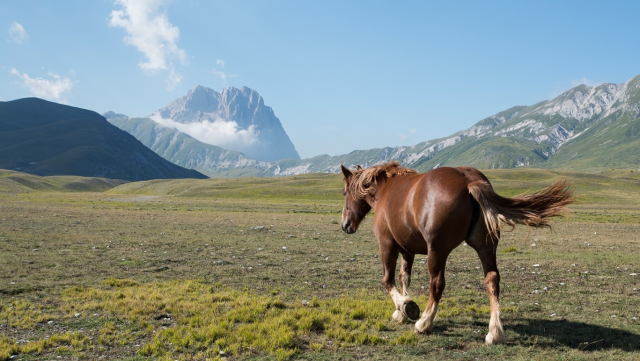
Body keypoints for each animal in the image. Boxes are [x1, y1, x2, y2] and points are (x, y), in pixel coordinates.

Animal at [340, 161, 576, 344]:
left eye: (344, 192)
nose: (345, 225)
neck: (385, 190)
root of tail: (468, 181)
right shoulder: (408, 250)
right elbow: (404, 278)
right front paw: (401, 311)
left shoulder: (387, 245)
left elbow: (388, 280)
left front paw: (406, 307)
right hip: (486, 246)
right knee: (492, 280)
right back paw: (495, 332)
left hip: (437, 251)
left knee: (436, 284)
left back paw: (424, 323)